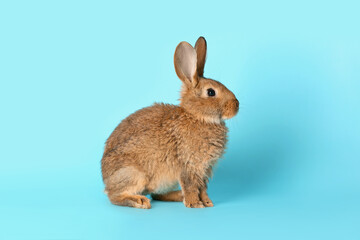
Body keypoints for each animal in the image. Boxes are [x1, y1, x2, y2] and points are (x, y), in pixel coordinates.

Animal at [100, 37, 239, 208]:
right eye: (211, 92)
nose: (236, 105)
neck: (197, 116)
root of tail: (106, 181)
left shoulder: (205, 170)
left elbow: (203, 189)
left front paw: (207, 202)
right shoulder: (188, 166)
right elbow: (191, 186)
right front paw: (195, 204)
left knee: (157, 195)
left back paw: (178, 196)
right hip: (134, 174)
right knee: (115, 197)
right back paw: (140, 201)